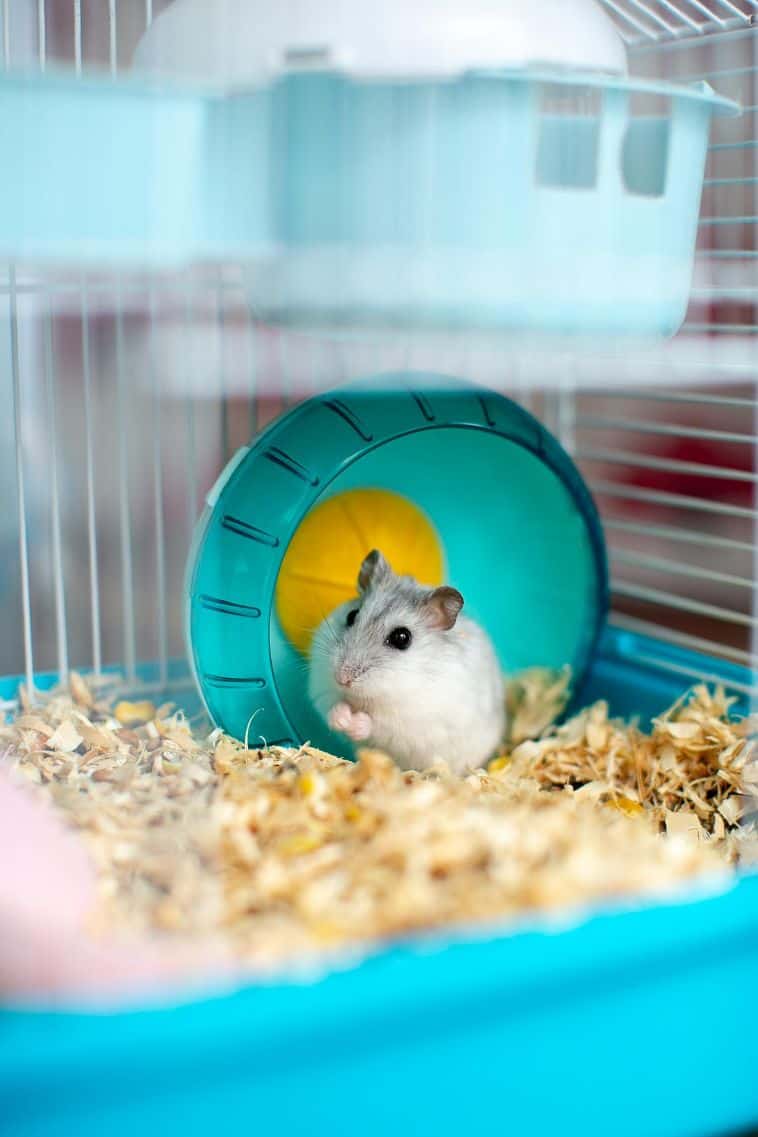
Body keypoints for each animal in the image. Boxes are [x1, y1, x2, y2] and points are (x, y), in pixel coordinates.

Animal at [308, 549, 506, 774]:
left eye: (402, 638)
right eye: (351, 615)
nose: (342, 678)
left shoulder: (413, 723)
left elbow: (379, 725)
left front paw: (356, 724)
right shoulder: (322, 689)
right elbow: (332, 705)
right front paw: (341, 719)